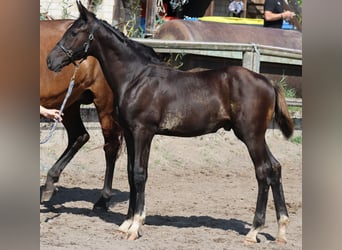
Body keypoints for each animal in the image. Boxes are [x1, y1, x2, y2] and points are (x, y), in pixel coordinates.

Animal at [40, 19, 122, 209]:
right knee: (79, 135)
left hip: (105, 106)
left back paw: (103, 200)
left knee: (111, 146)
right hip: (69, 103)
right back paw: (49, 184)